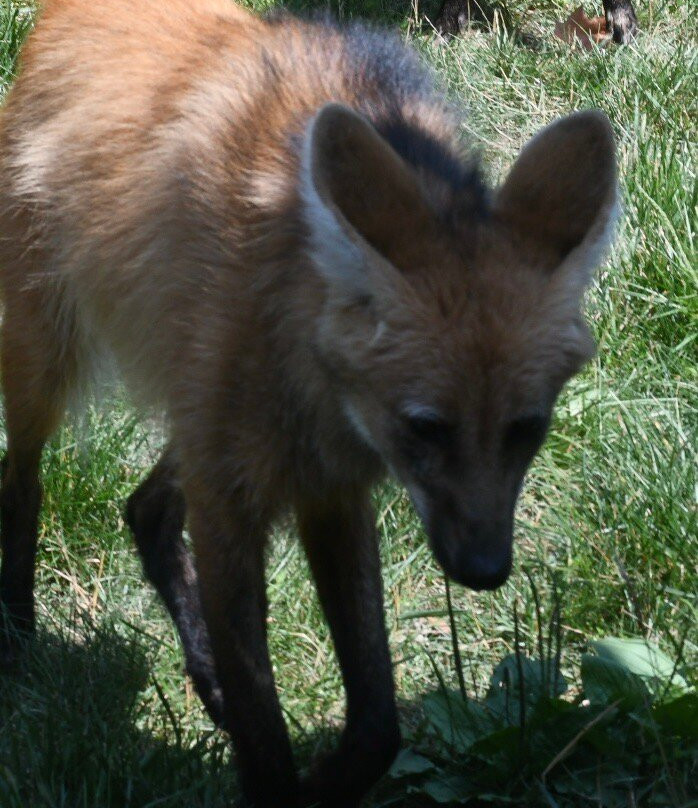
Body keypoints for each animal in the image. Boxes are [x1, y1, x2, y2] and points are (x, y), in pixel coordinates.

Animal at [0, 0, 617, 805]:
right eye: (426, 427)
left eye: (526, 428)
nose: (485, 571)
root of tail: (61, 17)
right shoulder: (240, 500)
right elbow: (263, 717)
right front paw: (277, 776)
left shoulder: (327, 483)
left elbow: (378, 722)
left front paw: (323, 779)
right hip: (50, 351)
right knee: (23, 479)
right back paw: (18, 634)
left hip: (210, 417)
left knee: (147, 507)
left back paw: (200, 672)